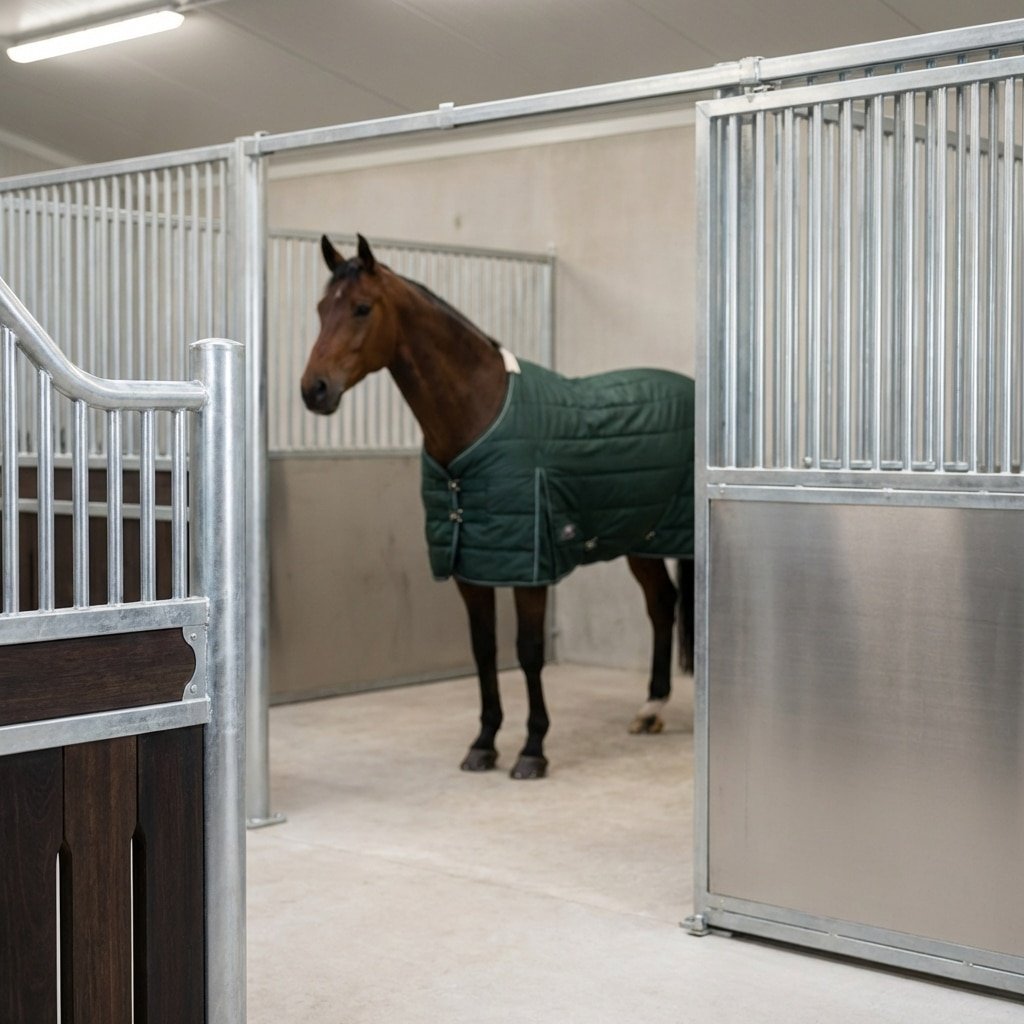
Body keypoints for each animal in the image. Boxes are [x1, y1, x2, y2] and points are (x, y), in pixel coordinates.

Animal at [301, 234, 695, 780]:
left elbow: (528, 653)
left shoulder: (530, 566)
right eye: (322, 310)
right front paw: (484, 743)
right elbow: (484, 651)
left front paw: (533, 749)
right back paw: (650, 709)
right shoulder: (471, 566)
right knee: (662, 605)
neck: (478, 416)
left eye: (361, 308)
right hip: (642, 539)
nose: (314, 390)